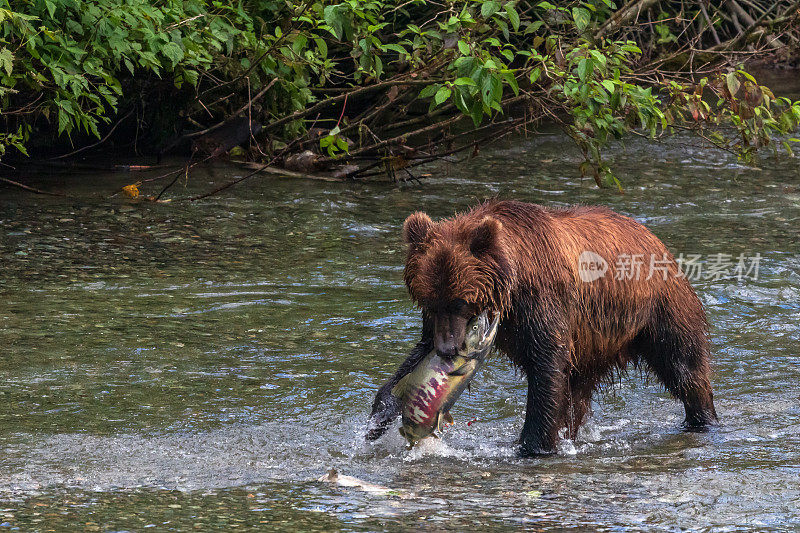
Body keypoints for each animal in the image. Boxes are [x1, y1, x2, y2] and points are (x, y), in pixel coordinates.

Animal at [368, 200, 720, 454]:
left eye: (460, 302)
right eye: (429, 300)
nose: (448, 349)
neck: (510, 289)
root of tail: (655, 239)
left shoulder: (543, 302)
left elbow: (546, 366)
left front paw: (532, 445)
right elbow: (415, 357)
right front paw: (378, 417)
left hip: (657, 309)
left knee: (684, 366)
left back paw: (702, 419)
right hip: (594, 345)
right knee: (577, 393)